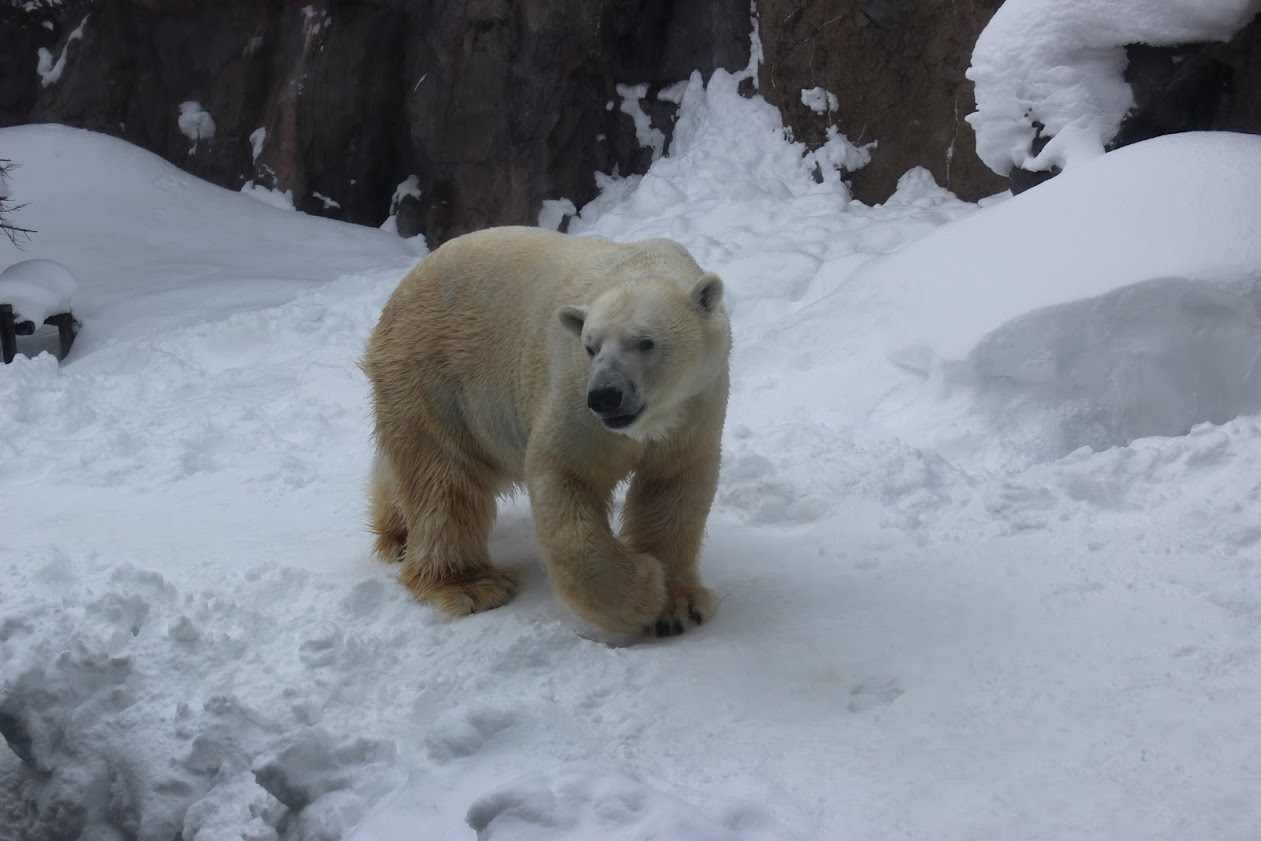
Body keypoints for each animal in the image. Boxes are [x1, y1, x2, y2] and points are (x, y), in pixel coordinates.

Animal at [363, 226, 731, 635]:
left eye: (646, 341)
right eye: (590, 346)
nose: (605, 396)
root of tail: (401, 290)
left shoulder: (696, 405)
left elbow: (674, 488)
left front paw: (678, 607)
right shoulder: (573, 395)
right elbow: (563, 477)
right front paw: (645, 588)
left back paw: (397, 535)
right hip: (434, 376)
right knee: (443, 480)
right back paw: (471, 586)